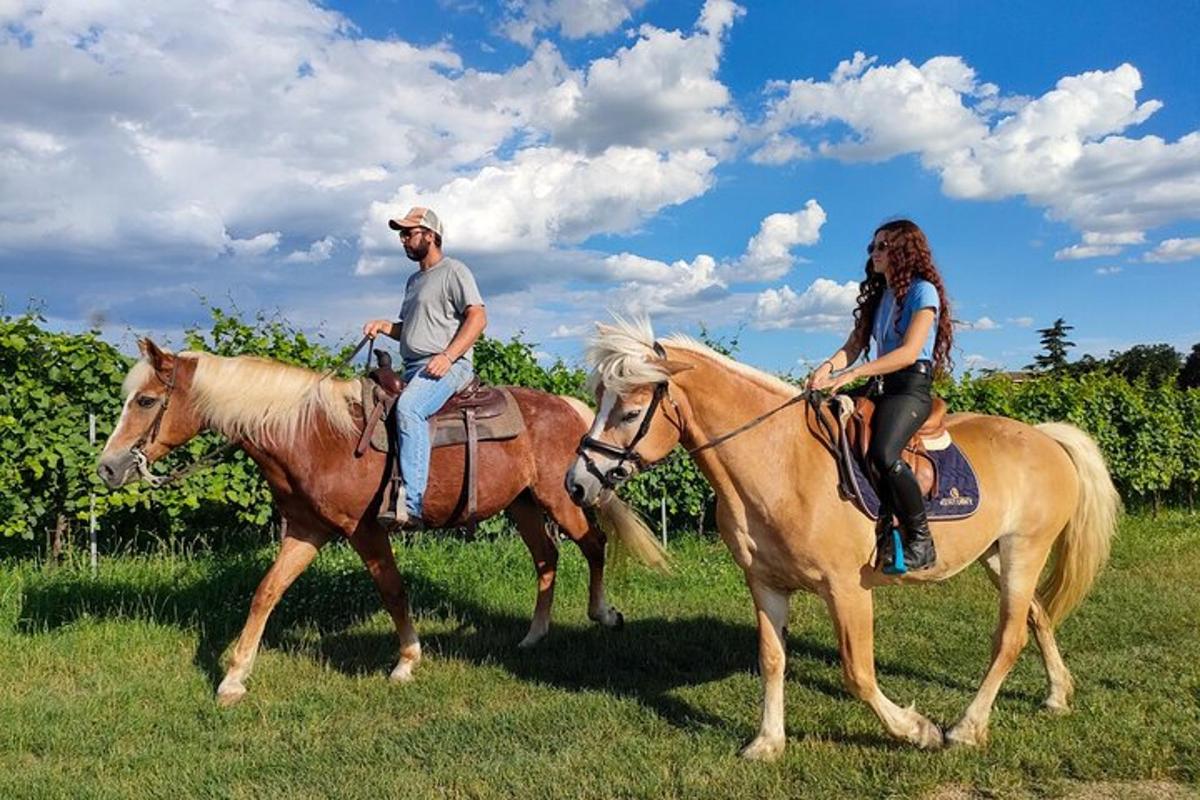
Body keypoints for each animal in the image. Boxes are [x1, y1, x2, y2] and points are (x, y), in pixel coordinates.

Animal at [98, 338, 672, 705]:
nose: (108, 467)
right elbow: (266, 592)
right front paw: (234, 679)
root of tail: (572, 408)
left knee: (593, 543)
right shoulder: (307, 531)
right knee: (547, 558)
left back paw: (603, 614)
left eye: (146, 400)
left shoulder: (365, 530)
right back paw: (533, 636)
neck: (310, 433)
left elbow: (393, 590)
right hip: (523, 504)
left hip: (560, 497)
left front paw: (406, 661)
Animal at [566, 316, 1118, 758]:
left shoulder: (847, 589)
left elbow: (858, 672)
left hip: (1025, 549)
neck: (781, 463)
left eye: (629, 413)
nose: (577, 483)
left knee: (1010, 636)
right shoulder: (765, 585)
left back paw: (964, 728)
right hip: (997, 555)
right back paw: (1056, 696)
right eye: (598, 402)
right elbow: (772, 659)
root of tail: (1046, 437)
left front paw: (916, 730)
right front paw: (767, 743)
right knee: (1038, 617)